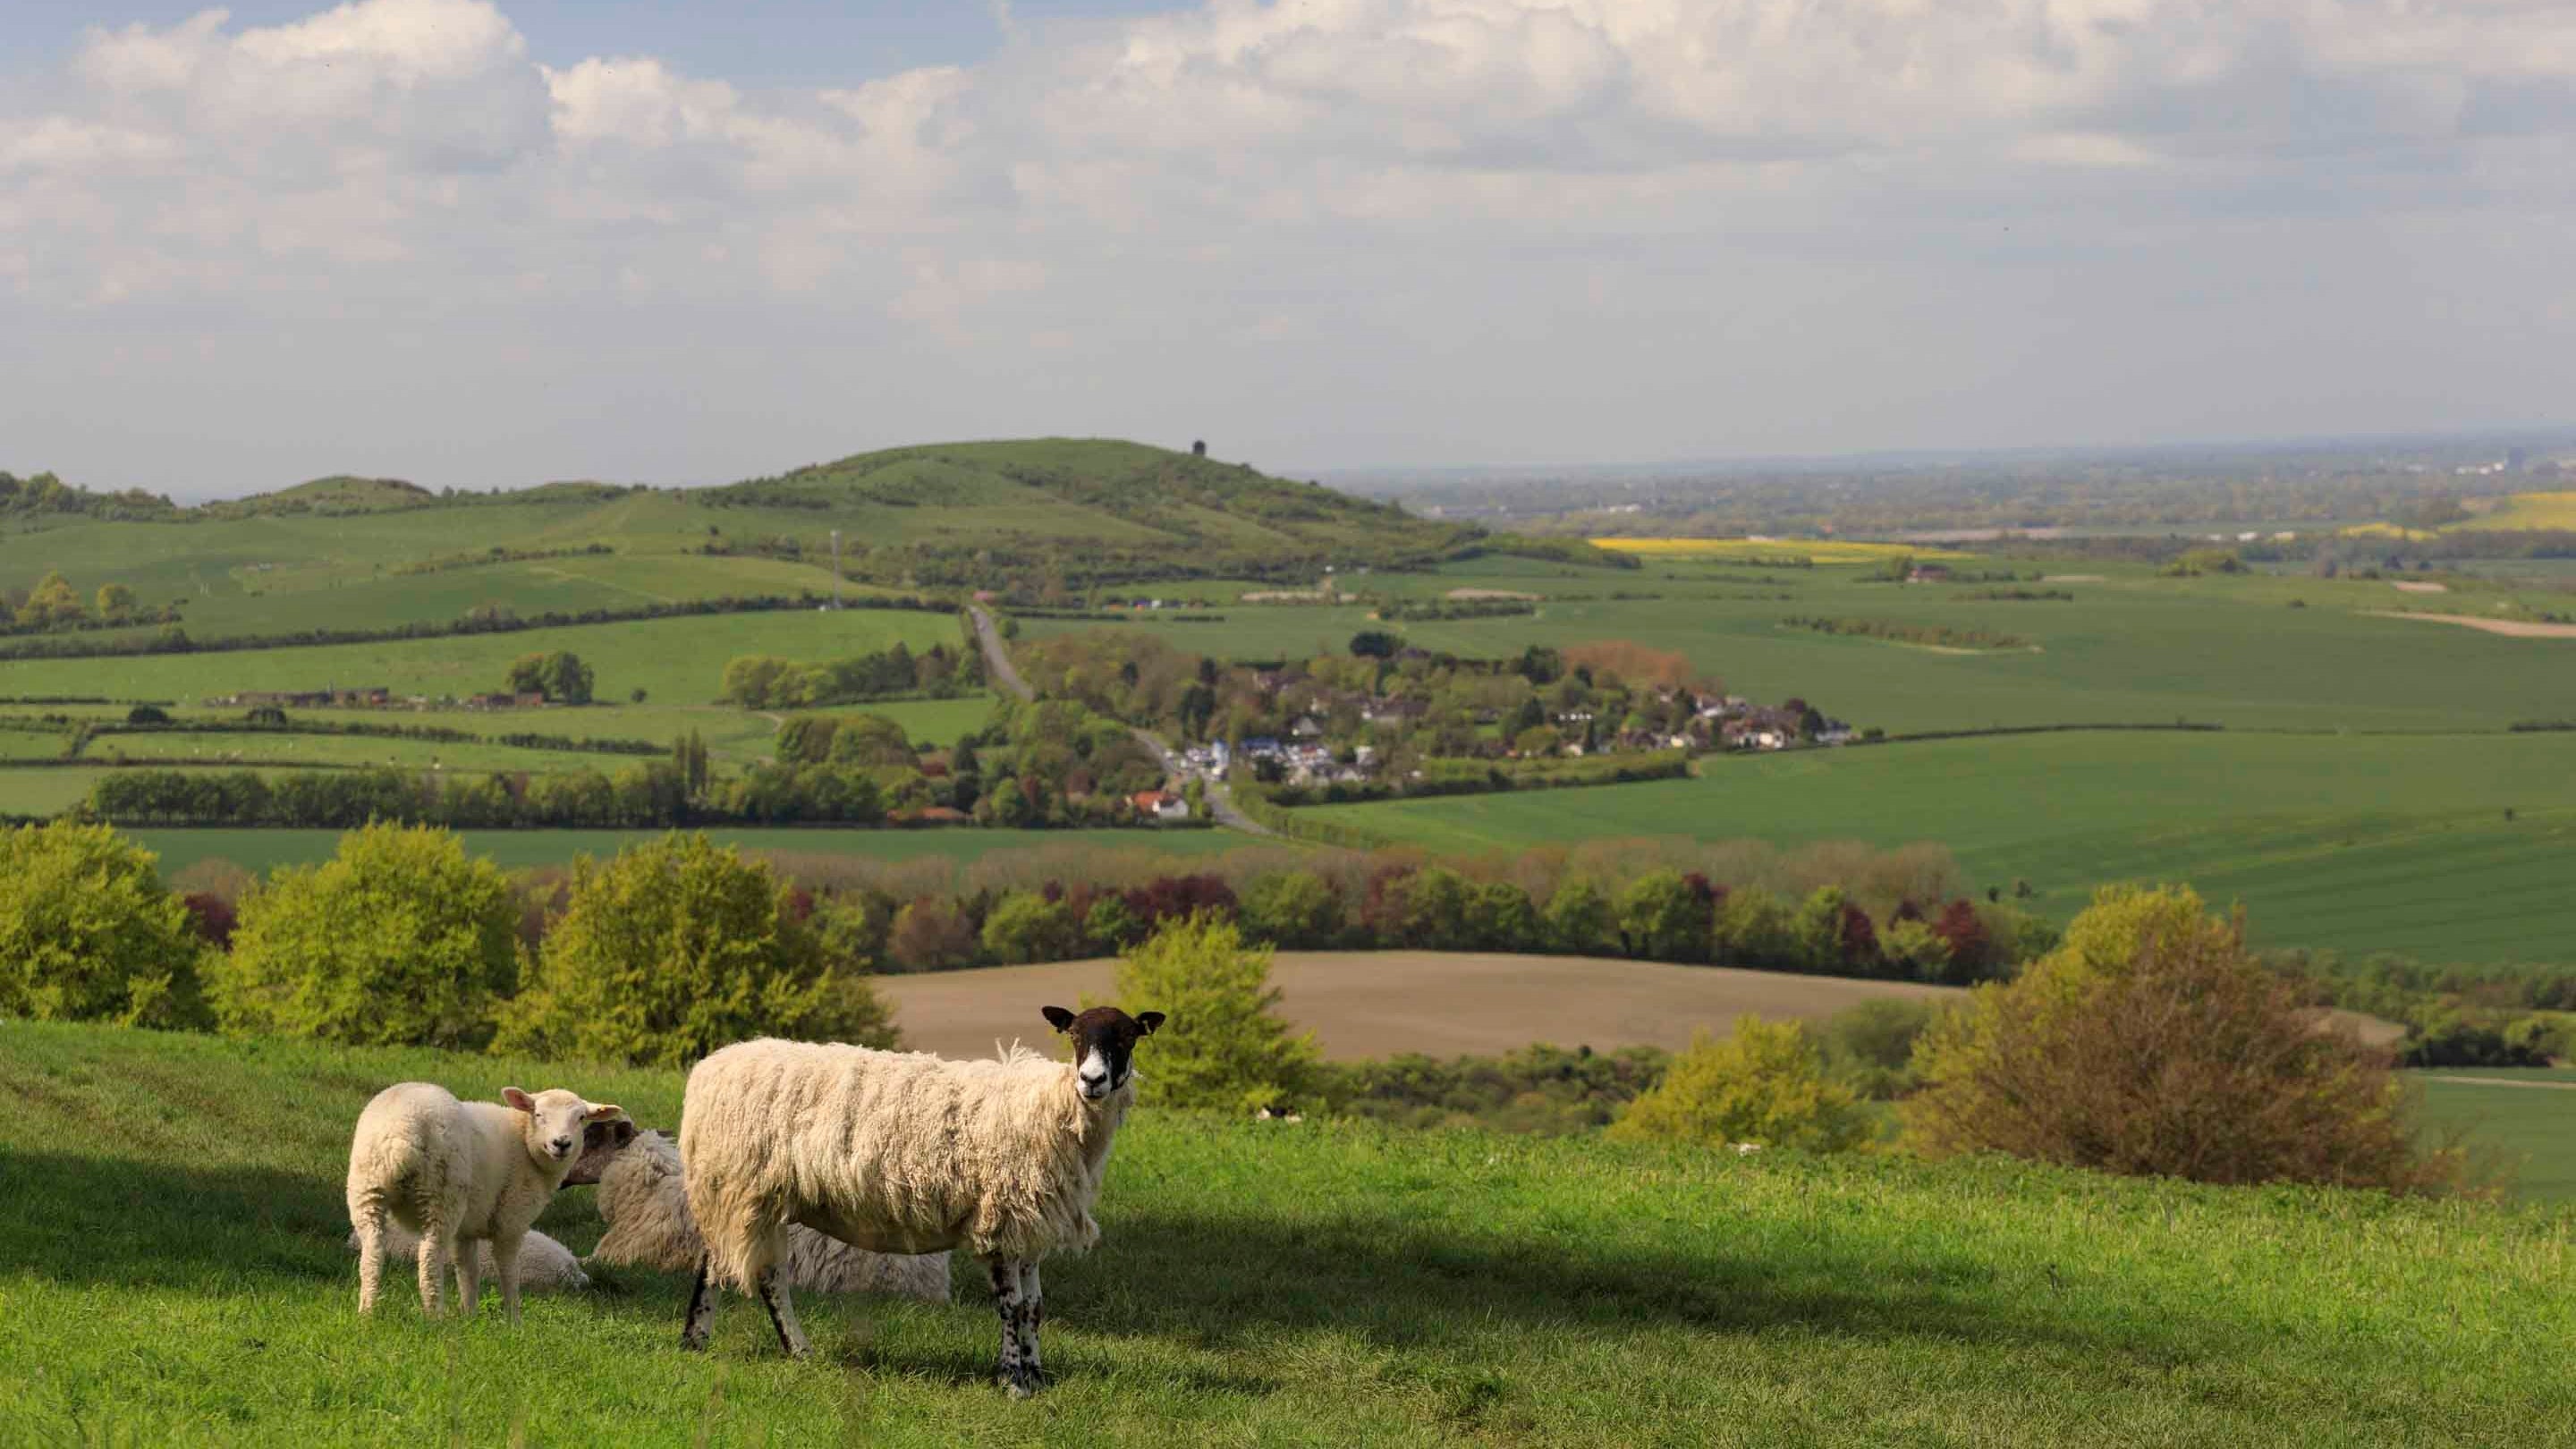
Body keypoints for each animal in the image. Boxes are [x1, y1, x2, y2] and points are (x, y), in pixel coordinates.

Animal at [346, 1081, 625, 1322]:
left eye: (581, 1118)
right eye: (538, 1115)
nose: (562, 1143)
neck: (524, 1142)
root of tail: (400, 1134)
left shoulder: (468, 1227)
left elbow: (468, 1270)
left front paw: (469, 1315)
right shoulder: (511, 1220)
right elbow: (509, 1271)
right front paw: (513, 1320)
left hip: (367, 1190)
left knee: (372, 1253)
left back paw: (367, 1311)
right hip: (441, 1195)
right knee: (429, 1256)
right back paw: (435, 1316)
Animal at [677, 1005, 1164, 1396]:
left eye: (1127, 1037)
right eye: (1075, 1035)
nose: (1092, 1080)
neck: (1053, 1108)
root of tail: (710, 1067)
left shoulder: (1029, 1225)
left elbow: (1035, 1306)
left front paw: (1036, 1375)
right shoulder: (1001, 1218)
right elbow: (1012, 1305)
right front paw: (1013, 1381)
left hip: (758, 1196)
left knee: (761, 1274)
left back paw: (780, 1349)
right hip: (738, 1188)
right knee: (731, 1269)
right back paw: (705, 1341)